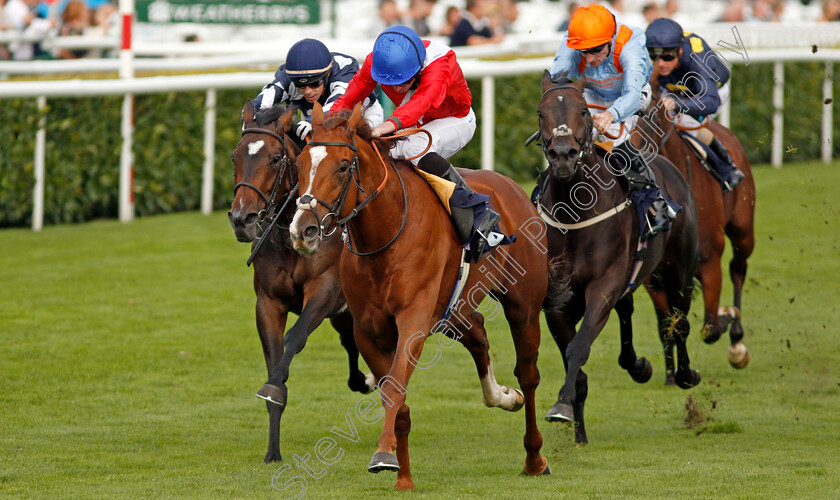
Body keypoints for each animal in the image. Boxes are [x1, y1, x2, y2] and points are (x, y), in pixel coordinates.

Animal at [230, 99, 374, 462]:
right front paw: (272, 451)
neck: (288, 235)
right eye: (235, 157)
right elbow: (274, 360)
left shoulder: (324, 290)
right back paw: (364, 380)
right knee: (350, 341)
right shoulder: (268, 303)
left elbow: (295, 337)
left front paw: (273, 386)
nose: (241, 219)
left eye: (276, 159)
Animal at [288, 100, 556, 488]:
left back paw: (534, 457)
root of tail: (511, 186)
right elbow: (395, 396)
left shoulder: (413, 320)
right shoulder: (368, 330)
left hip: (524, 304)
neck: (385, 235)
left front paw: (383, 456)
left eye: (342, 166)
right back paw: (503, 396)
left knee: (529, 374)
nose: (302, 231)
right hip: (454, 309)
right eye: (299, 164)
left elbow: (395, 388)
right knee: (478, 334)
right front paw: (403, 477)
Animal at [532, 72, 704, 444]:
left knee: (680, 321)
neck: (575, 214)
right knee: (628, 310)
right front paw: (576, 427)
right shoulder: (558, 301)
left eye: (584, 111)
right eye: (541, 113)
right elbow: (575, 360)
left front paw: (562, 405)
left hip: (679, 270)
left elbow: (578, 348)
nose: (563, 155)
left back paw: (686, 374)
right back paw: (638, 365)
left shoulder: (603, 286)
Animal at [632, 80, 756, 376]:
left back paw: (737, 339)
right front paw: (670, 374)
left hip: (743, 231)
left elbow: (710, 327)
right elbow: (667, 325)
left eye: (649, 117)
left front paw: (725, 316)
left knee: (738, 268)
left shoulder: (709, 262)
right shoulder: (652, 277)